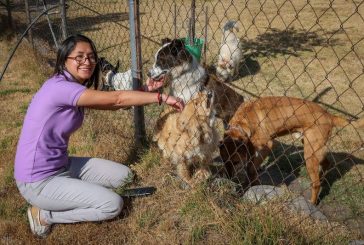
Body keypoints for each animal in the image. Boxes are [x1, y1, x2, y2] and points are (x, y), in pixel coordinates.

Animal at [223, 96, 362, 204]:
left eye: (235, 162)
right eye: (225, 161)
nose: (228, 178)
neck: (243, 122)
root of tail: (329, 115)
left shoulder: (268, 145)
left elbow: (251, 168)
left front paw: (249, 184)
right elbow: (251, 166)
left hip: (310, 153)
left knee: (316, 184)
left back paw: (312, 202)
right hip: (312, 148)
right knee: (326, 164)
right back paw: (321, 177)